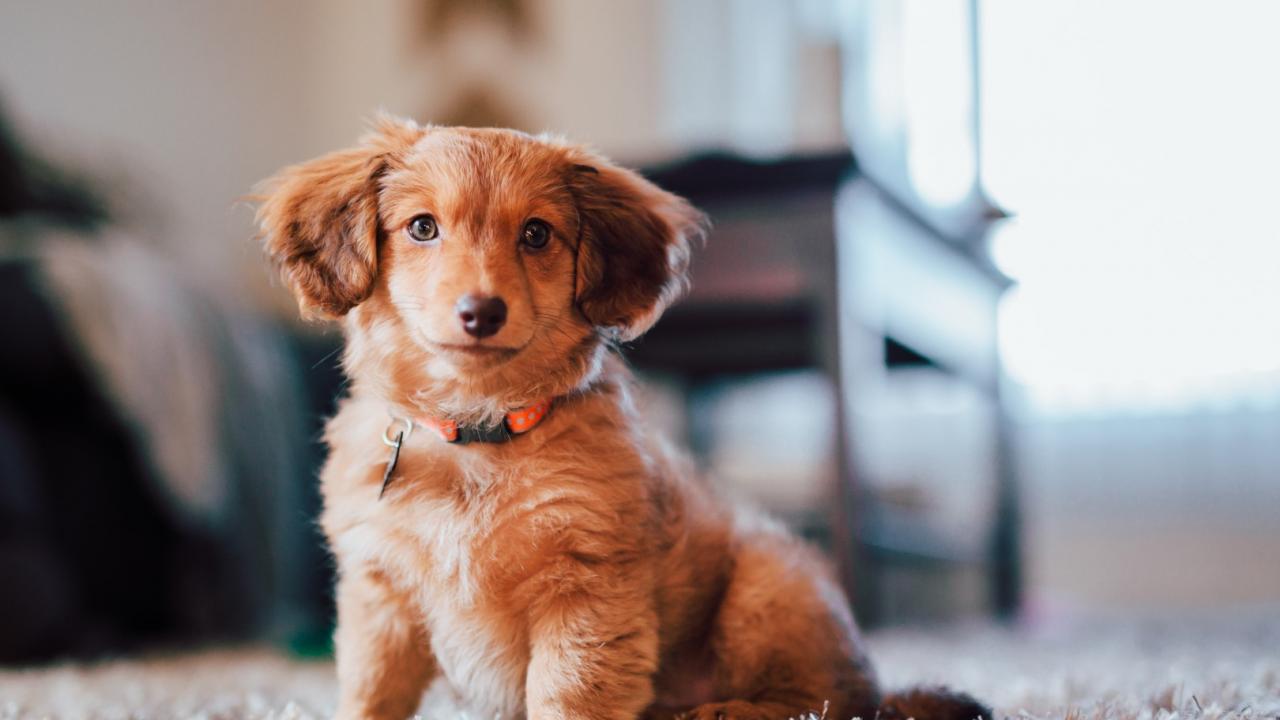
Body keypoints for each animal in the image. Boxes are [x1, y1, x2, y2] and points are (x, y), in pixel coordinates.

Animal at [252, 116, 988, 717]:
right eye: (422, 228)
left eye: (537, 234)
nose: (481, 312)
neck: (476, 434)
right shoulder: (381, 600)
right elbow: (372, 695)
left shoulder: (586, 596)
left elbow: (567, 698)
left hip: (767, 586)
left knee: (824, 700)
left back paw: (724, 712)